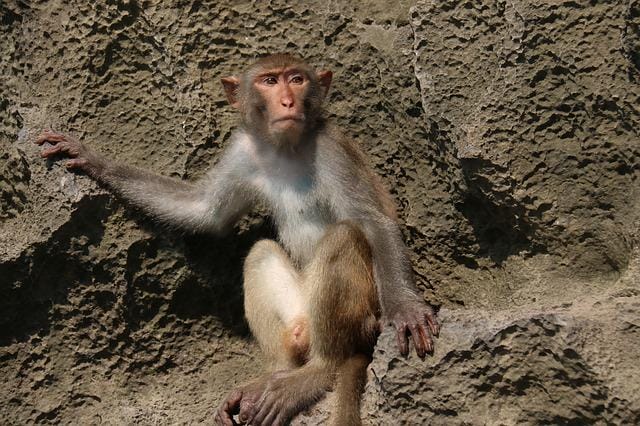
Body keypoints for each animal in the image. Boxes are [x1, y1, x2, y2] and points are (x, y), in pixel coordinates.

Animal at [36, 53, 440, 425]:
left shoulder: (331, 150)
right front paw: (92, 160)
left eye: (296, 79)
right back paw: (275, 375)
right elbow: (204, 210)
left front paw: (407, 309)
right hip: (300, 311)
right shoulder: (243, 151)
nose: (288, 101)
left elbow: (371, 221)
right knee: (260, 253)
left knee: (344, 237)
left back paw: (317, 371)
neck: (286, 147)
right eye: (269, 81)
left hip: (365, 315)